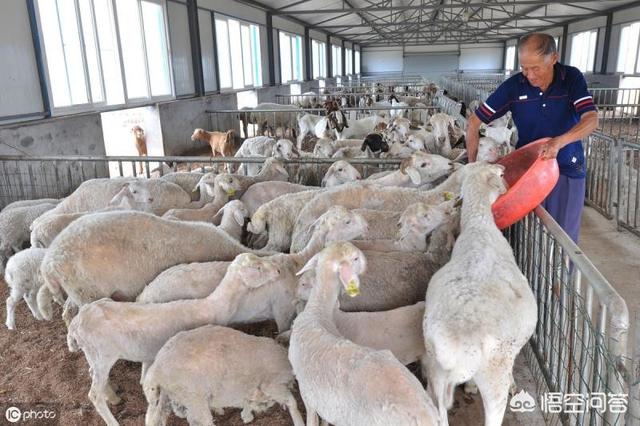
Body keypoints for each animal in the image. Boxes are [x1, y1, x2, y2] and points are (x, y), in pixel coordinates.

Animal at [67, 253, 282, 426]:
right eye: (258, 268)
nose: (278, 270)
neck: (212, 306)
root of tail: (76, 323)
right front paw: (218, 408)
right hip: (102, 355)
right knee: (94, 394)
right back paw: (112, 419)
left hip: (94, 356)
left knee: (94, 376)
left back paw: (112, 396)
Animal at [145, 326, 304, 426]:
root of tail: (157, 367)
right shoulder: (272, 384)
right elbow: (292, 402)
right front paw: (299, 422)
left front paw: (247, 415)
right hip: (194, 398)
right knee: (198, 421)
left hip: (169, 394)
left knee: (155, 417)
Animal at [424, 163, 540, 426]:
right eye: (501, 175)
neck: (478, 224)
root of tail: (454, 342)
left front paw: (469, 387)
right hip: (493, 375)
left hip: (434, 375)